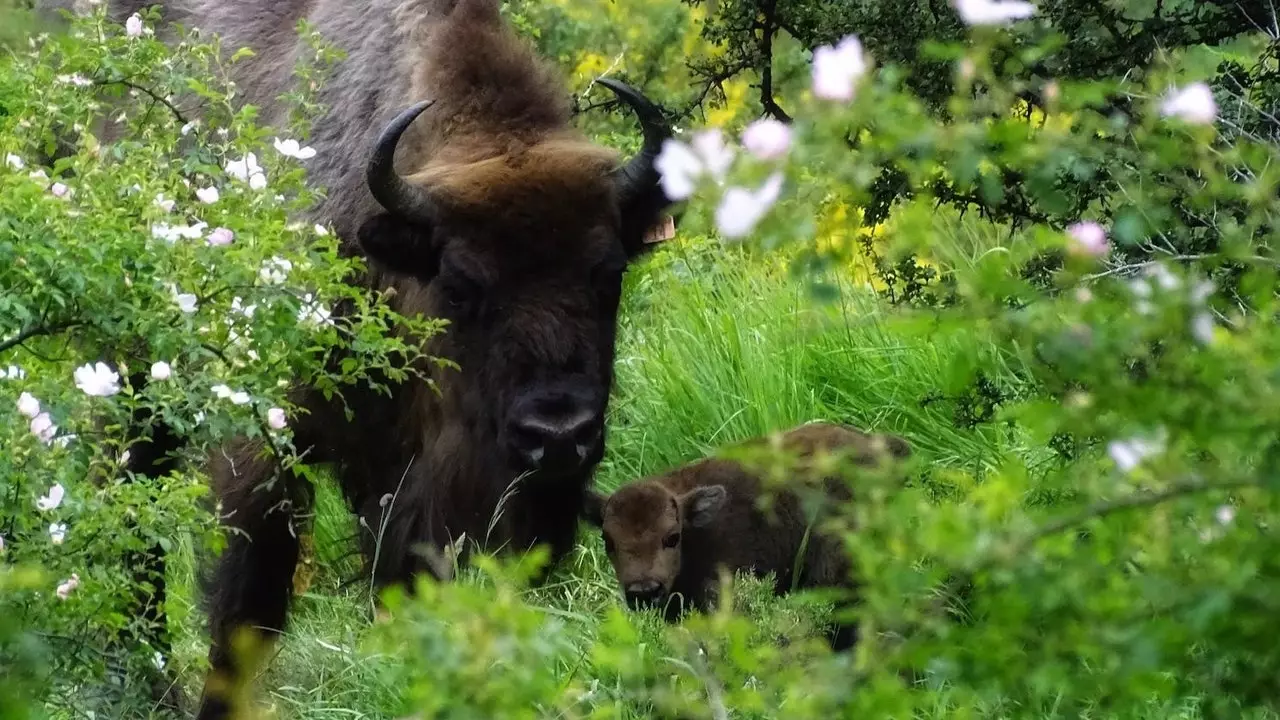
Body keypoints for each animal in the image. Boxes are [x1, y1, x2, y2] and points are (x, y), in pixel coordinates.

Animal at [74, 0, 675, 707]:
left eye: (609, 273)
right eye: (459, 283)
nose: (557, 434)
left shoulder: (409, 480)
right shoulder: (263, 448)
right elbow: (245, 606)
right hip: (132, 376)